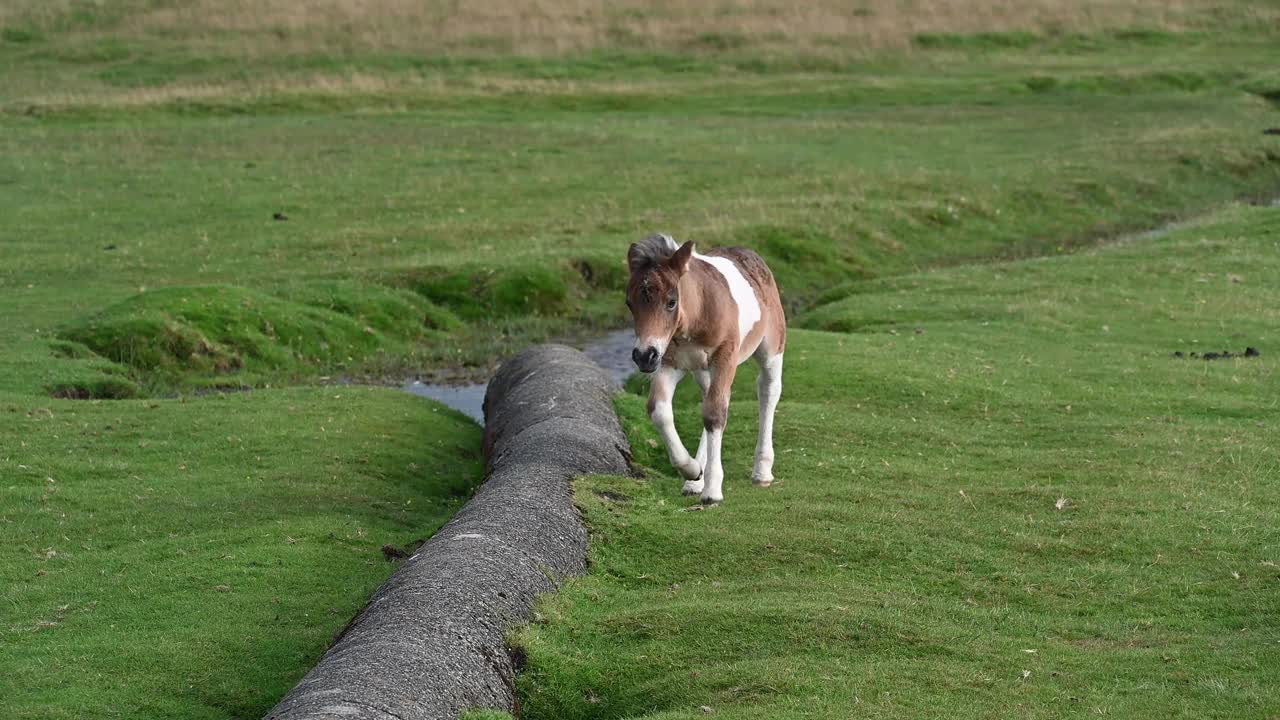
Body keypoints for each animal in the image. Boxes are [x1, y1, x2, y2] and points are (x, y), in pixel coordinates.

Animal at [624, 233, 783, 502]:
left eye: (671, 302)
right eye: (629, 304)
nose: (644, 356)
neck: (697, 315)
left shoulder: (725, 358)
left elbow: (715, 414)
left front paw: (712, 491)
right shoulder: (668, 362)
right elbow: (659, 409)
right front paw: (692, 471)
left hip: (771, 349)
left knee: (767, 391)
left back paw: (762, 471)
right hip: (702, 370)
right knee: (710, 399)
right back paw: (694, 481)